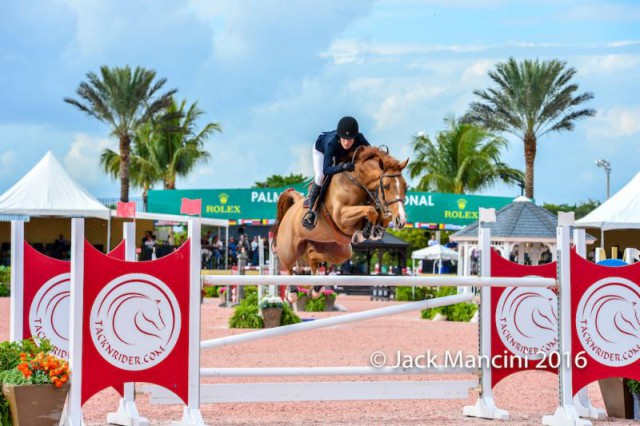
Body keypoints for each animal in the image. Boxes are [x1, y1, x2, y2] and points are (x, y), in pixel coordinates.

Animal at [272, 145, 408, 274]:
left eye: (405, 186)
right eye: (386, 186)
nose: (401, 221)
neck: (357, 182)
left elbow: (382, 214)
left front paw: (377, 230)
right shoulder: (342, 217)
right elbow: (370, 210)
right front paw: (364, 233)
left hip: (337, 250)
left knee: (313, 255)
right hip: (288, 253)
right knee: (287, 267)